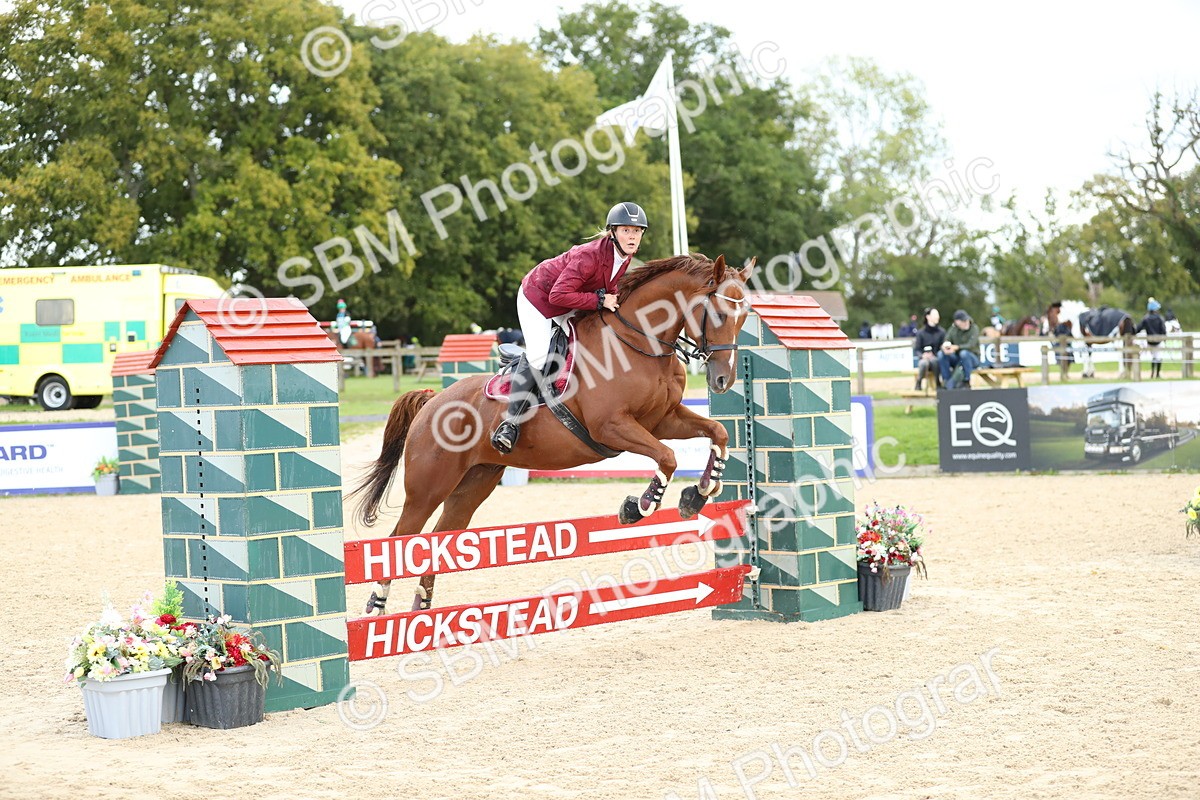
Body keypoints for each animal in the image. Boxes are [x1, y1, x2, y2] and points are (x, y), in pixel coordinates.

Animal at [348, 254, 756, 616]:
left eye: (744, 317)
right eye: (719, 314)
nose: (723, 380)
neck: (639, 343)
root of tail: (432, 401)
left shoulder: (663, 420)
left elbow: (717, 432)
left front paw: (699, 492)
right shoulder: (613, 427)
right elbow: (667, 458)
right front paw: (638, 506)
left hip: (472, 485)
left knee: (439, 539)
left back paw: (422, 607)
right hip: (428, 487)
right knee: (401, 537)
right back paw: (378, 604)